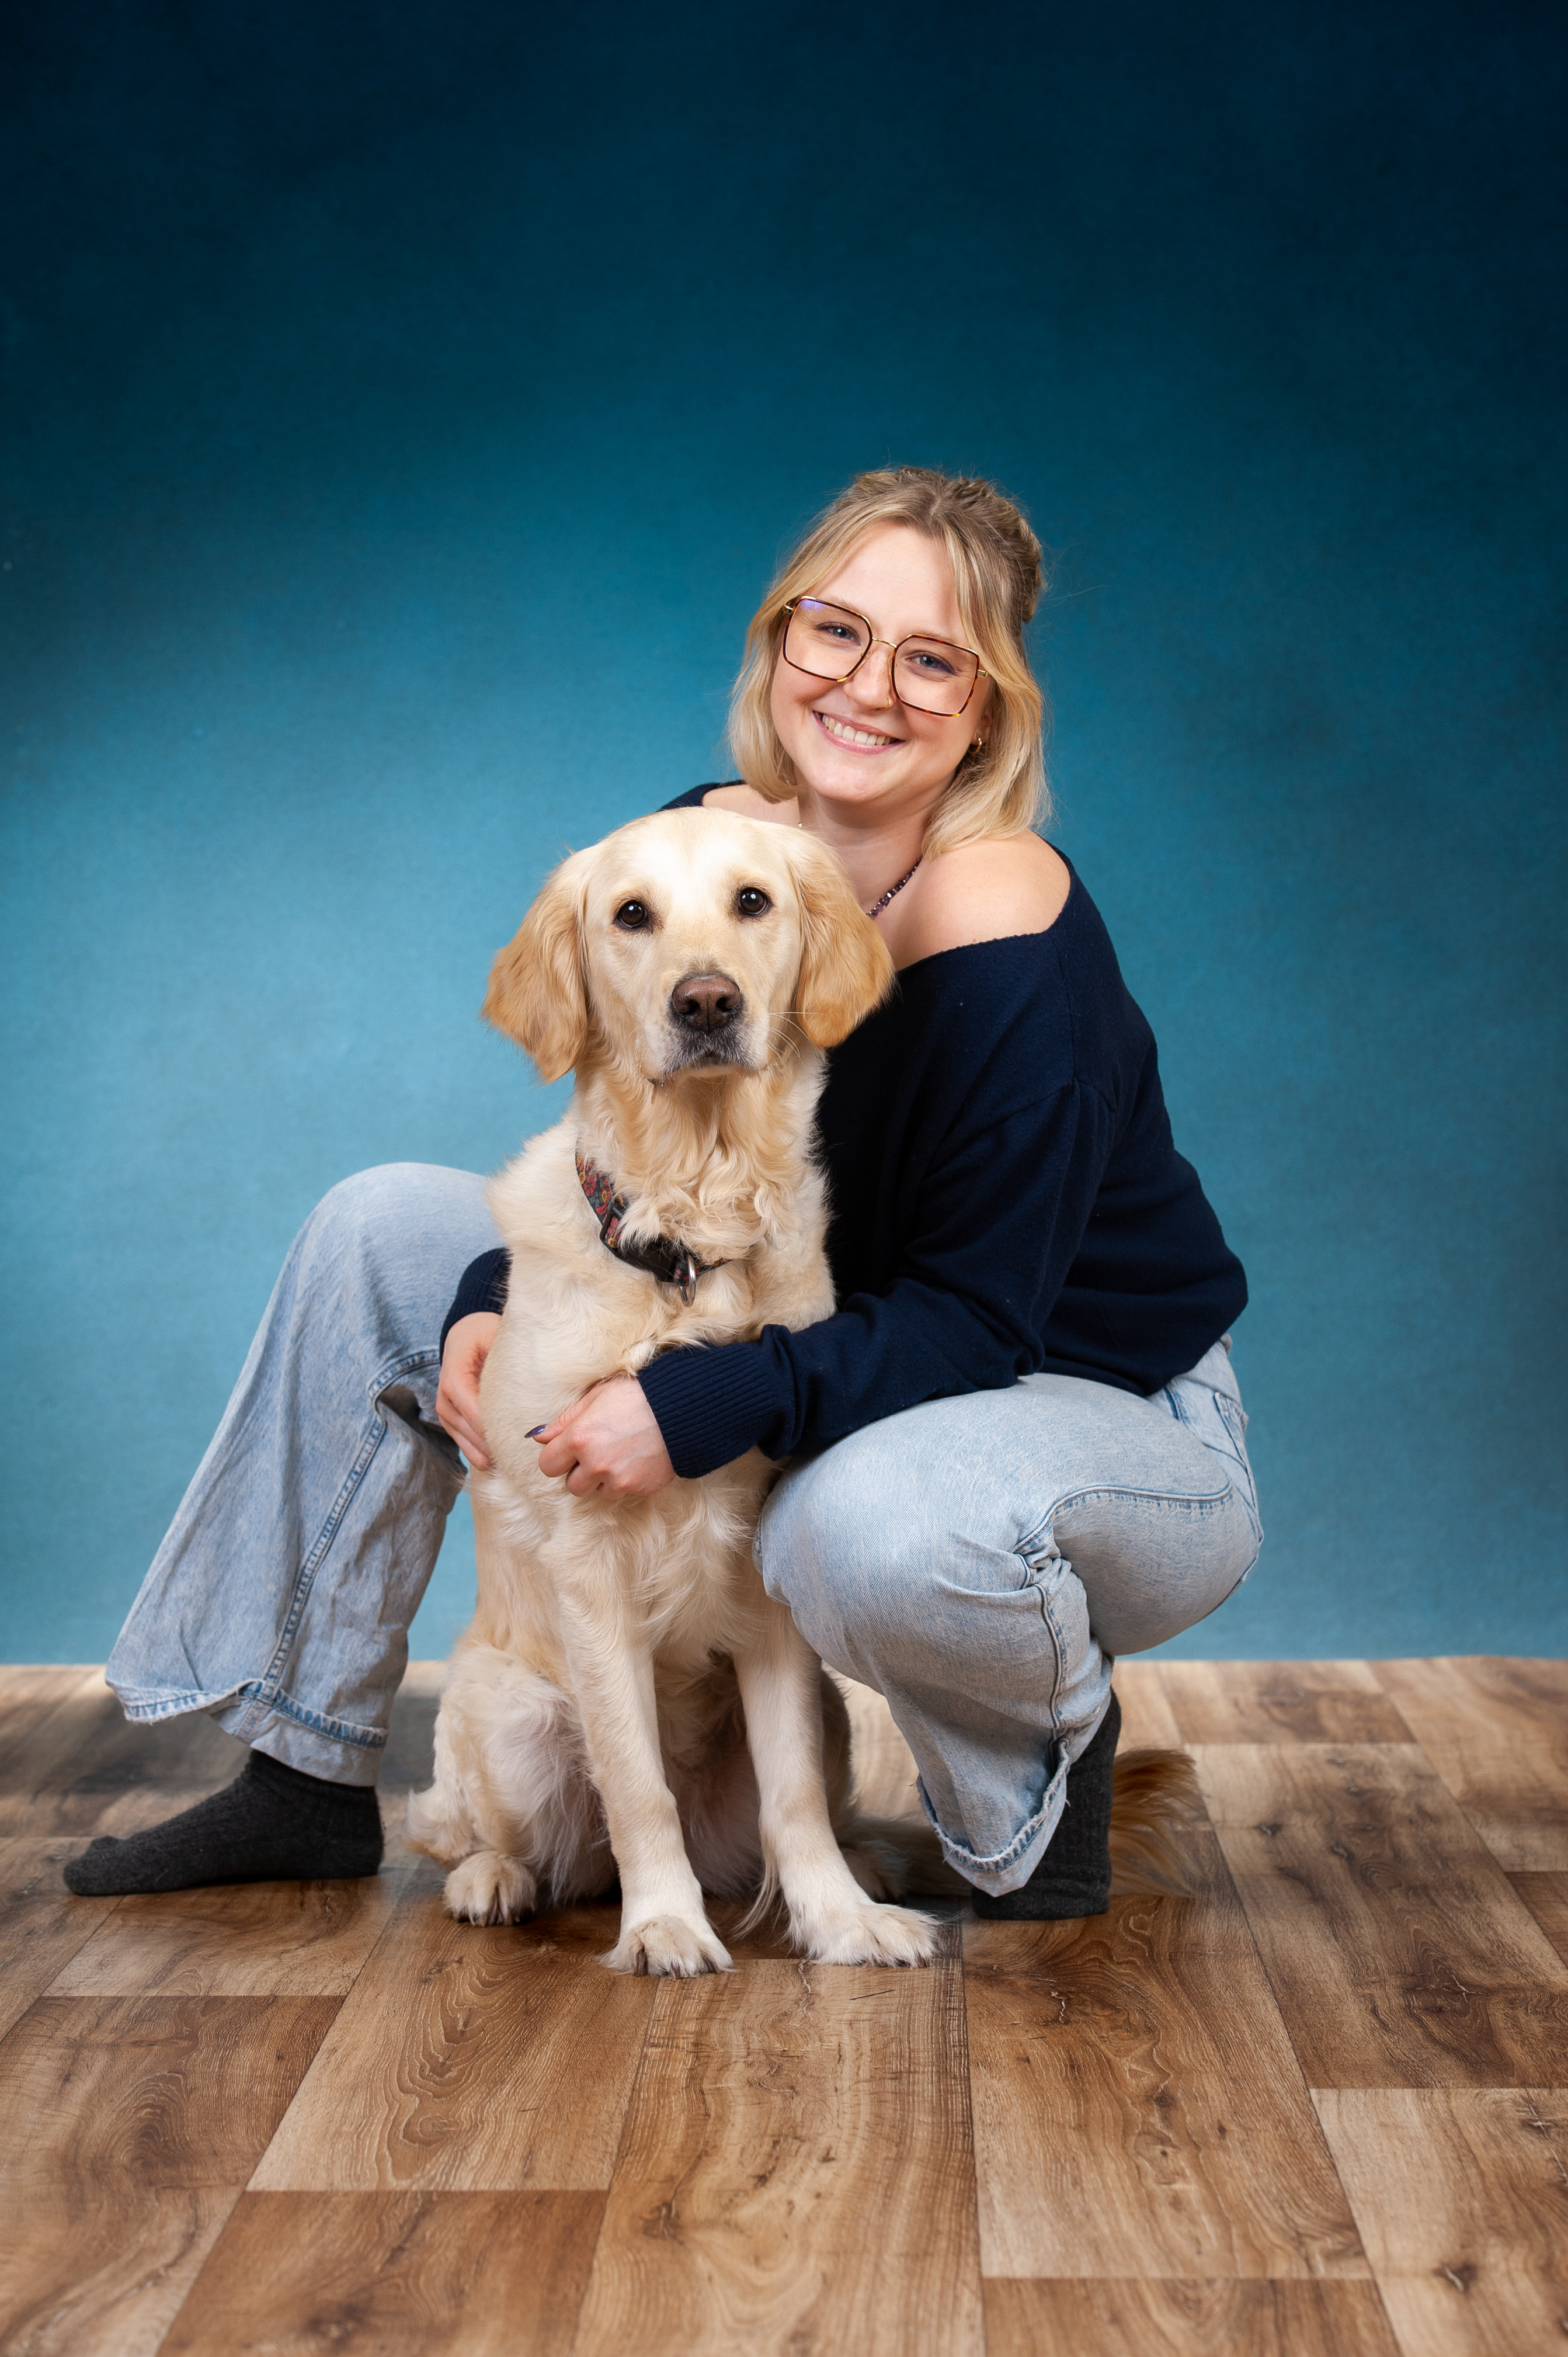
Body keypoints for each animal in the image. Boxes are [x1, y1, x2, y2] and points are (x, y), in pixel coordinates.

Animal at [407, 807, 945, 1975]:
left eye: (753, 901)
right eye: (630, 914)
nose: (705, 1002)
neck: (691, 1238)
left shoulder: (769, 1582)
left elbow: (792, 1795)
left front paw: (839, 1919)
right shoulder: (589, 1570)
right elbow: (634, 1782)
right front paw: (663, 1925)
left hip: (833, 1713)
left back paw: (865, 1866)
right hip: (511, 1714)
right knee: (489, 1834)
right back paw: (497, 1879)